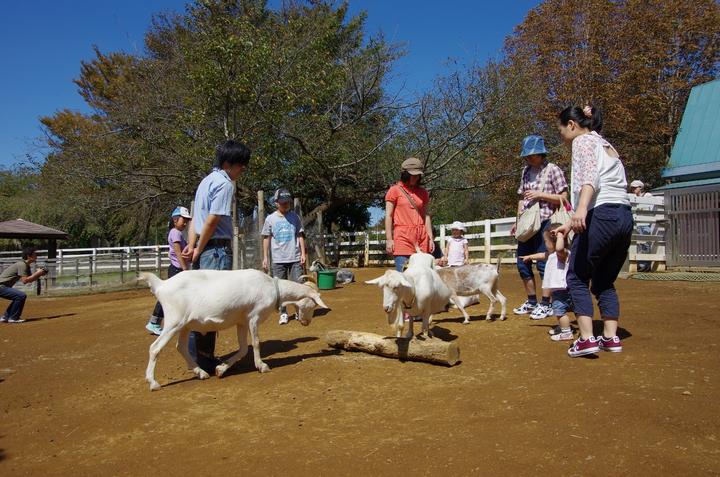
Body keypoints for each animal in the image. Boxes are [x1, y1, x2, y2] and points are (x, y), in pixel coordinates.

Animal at [139, 270, 330, 388]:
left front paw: (221, 369)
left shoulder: (242, 322)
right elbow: (256, 343)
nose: (307, 322)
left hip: (185, 325)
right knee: (155, 348)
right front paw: (262, 366)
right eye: (313, 304)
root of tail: (161, 285)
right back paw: (153, 383)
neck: (272, 287)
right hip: (173, 322)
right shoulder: (254, 318)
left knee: (181, 347)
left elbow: (244, 348)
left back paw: (201, 373)